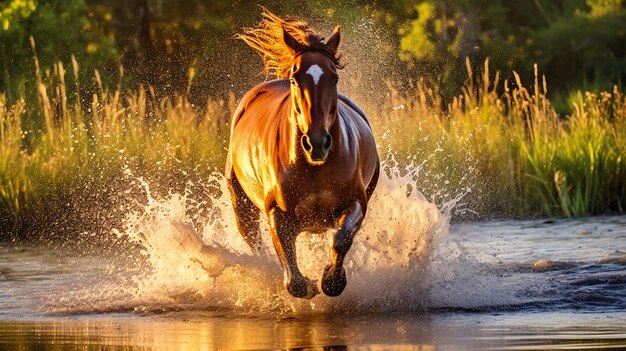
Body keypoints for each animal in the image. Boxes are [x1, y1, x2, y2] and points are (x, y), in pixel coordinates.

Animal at [225, 9, 378, 298]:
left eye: (334, 78)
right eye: (296, 78)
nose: (317, 143)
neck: (313, 166)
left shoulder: (356, 201)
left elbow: (342, 238)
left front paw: (331, 280)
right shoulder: (277, 213)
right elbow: (290, 272)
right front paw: (307, 284)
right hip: (242, 204)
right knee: (253, 240)